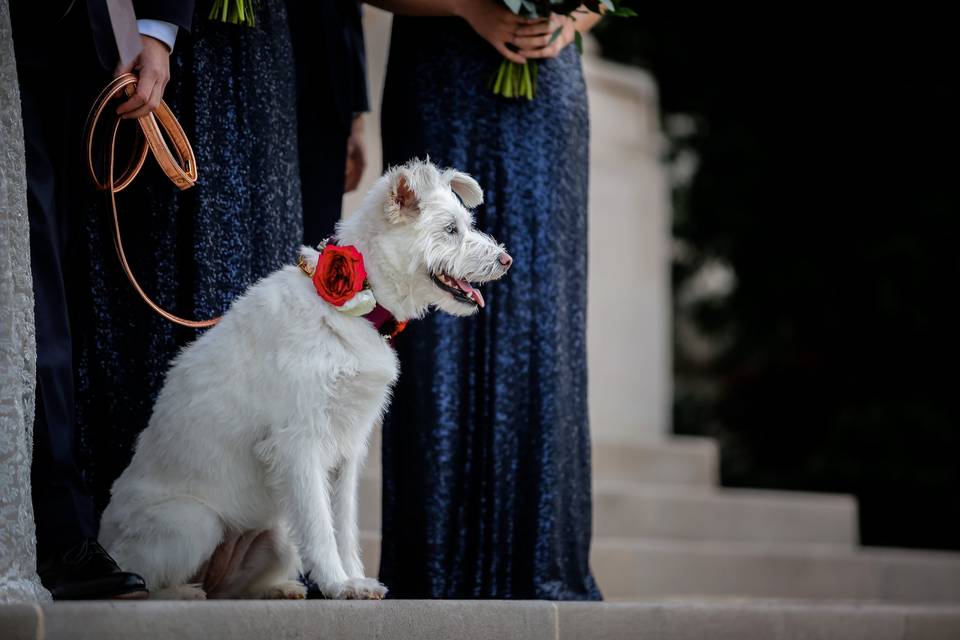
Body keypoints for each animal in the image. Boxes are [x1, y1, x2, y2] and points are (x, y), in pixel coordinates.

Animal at [98, 160, 512, 600]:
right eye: (450, 229)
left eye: (466, 225)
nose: (507, 260)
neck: (355, 304)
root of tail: (106, 546)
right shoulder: (299, 443)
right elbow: (319, 526)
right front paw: (338, 584)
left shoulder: (347, 449)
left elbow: (343, 525)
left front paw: (355, 579)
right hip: (193, 522)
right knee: (147, 584)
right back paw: (182, 592)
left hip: (277, 537)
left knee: (230, 590)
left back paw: (278, 589)